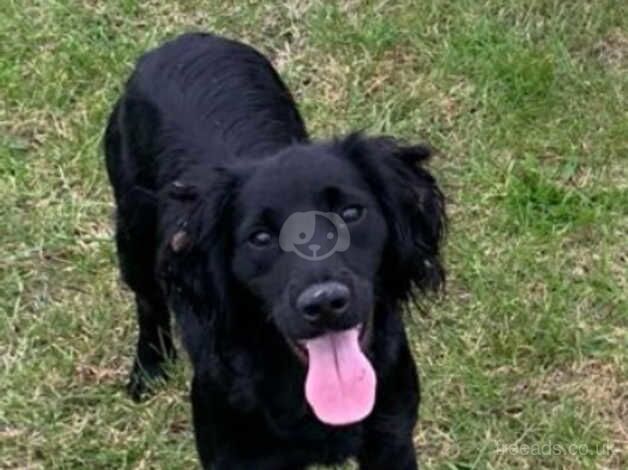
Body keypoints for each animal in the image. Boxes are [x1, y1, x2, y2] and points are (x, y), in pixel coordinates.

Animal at [104, 31, 446, 468]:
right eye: (260, 238)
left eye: (351, 213)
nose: (324, 303)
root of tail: (181, 40)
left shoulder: (393, 439)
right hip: (132, 236)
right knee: (148, 302)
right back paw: (148, 369)